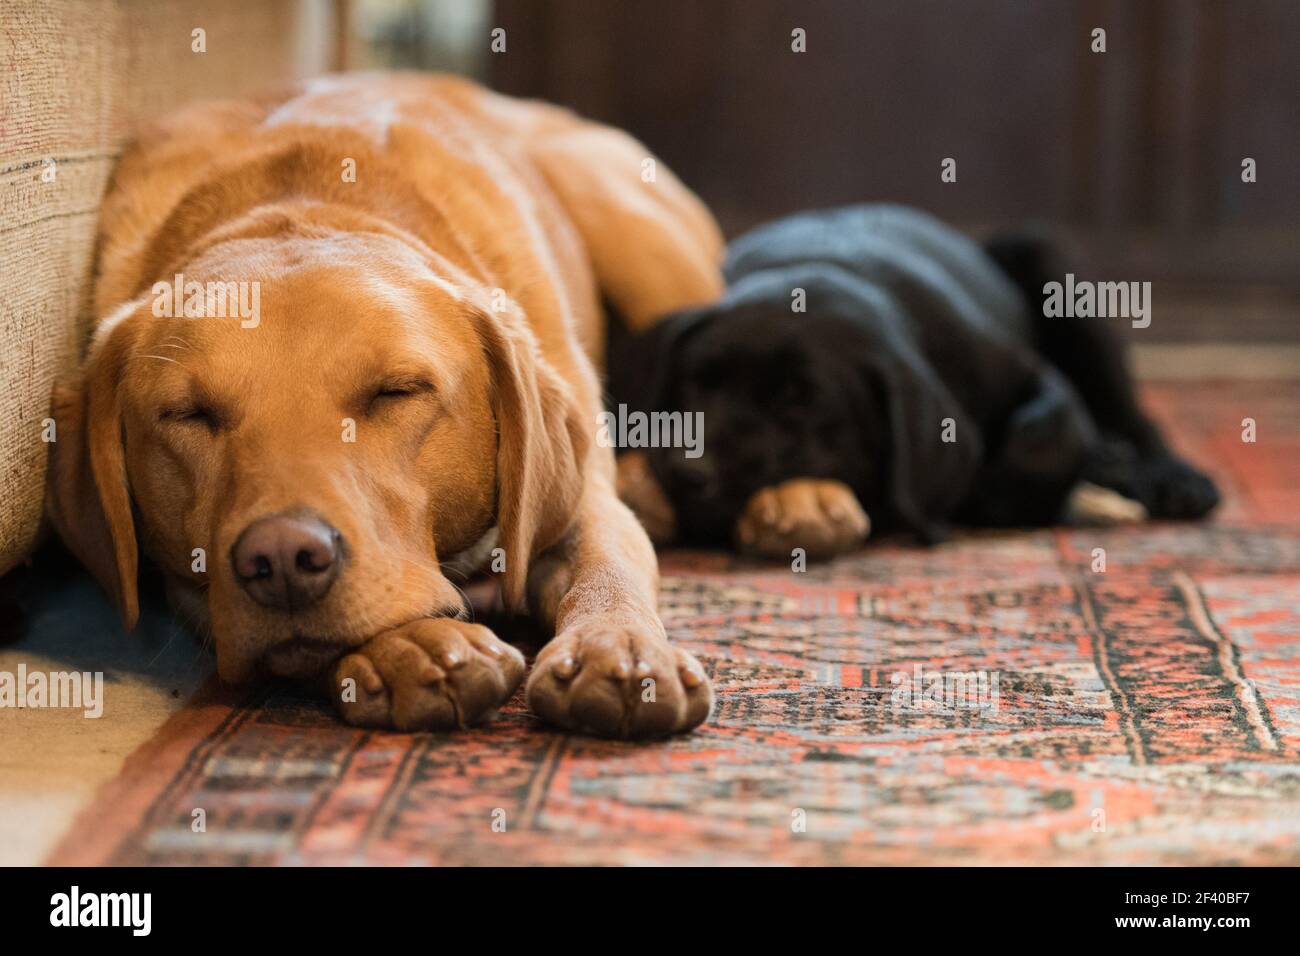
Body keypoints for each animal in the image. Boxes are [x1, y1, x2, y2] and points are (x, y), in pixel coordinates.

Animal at [608, 204, 1216, 561]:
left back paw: (1168, 477)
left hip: (1052, 263)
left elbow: (1045, 436)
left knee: (1133, 414)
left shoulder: (1028, 373)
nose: (687, 473)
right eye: (695, 382)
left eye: (800, 403)